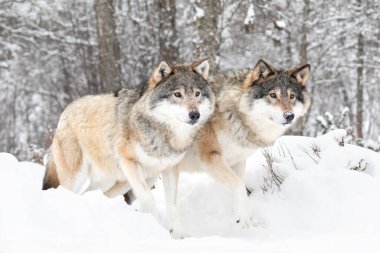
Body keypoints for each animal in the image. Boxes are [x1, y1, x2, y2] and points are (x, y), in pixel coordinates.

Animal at [164, 59, 312, 237]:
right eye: (273, 95)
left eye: (291, 96)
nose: (289, 116)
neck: (233, 113)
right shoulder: (210, 158)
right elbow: (240, 187)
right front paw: (247, 222)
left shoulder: (238, 160)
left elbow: (238, 188)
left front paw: (238, 220)